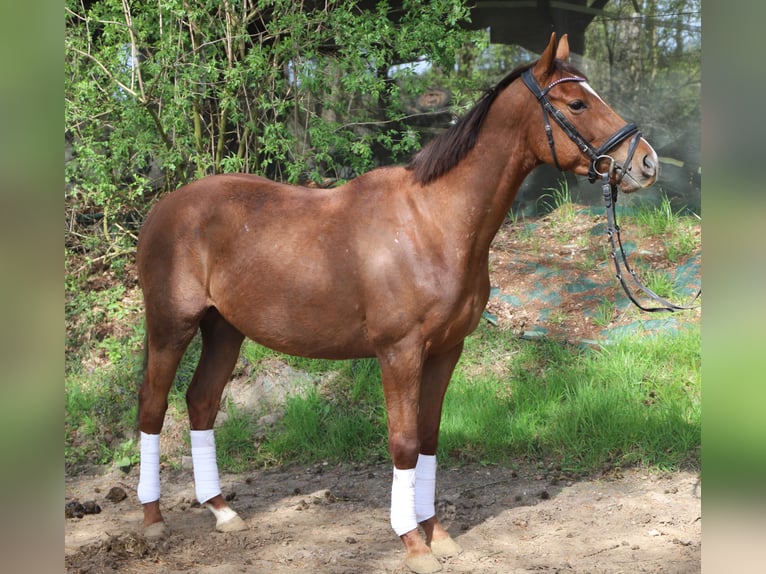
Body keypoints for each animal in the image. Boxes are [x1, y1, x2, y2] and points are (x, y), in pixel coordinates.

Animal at [135, 33, 658, 574]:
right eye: (576, 103)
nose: (646, 163)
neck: (432, 221)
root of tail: (164, 209)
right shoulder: (399, 353)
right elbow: (403, 444)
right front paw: (412, 544)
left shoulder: (446, 350)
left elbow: (427, 437)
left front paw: (438, 534)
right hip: (171, 326)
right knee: (152, 406)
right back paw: (153, 521)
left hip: (224, 329)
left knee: (201, 402)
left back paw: (221, 511)